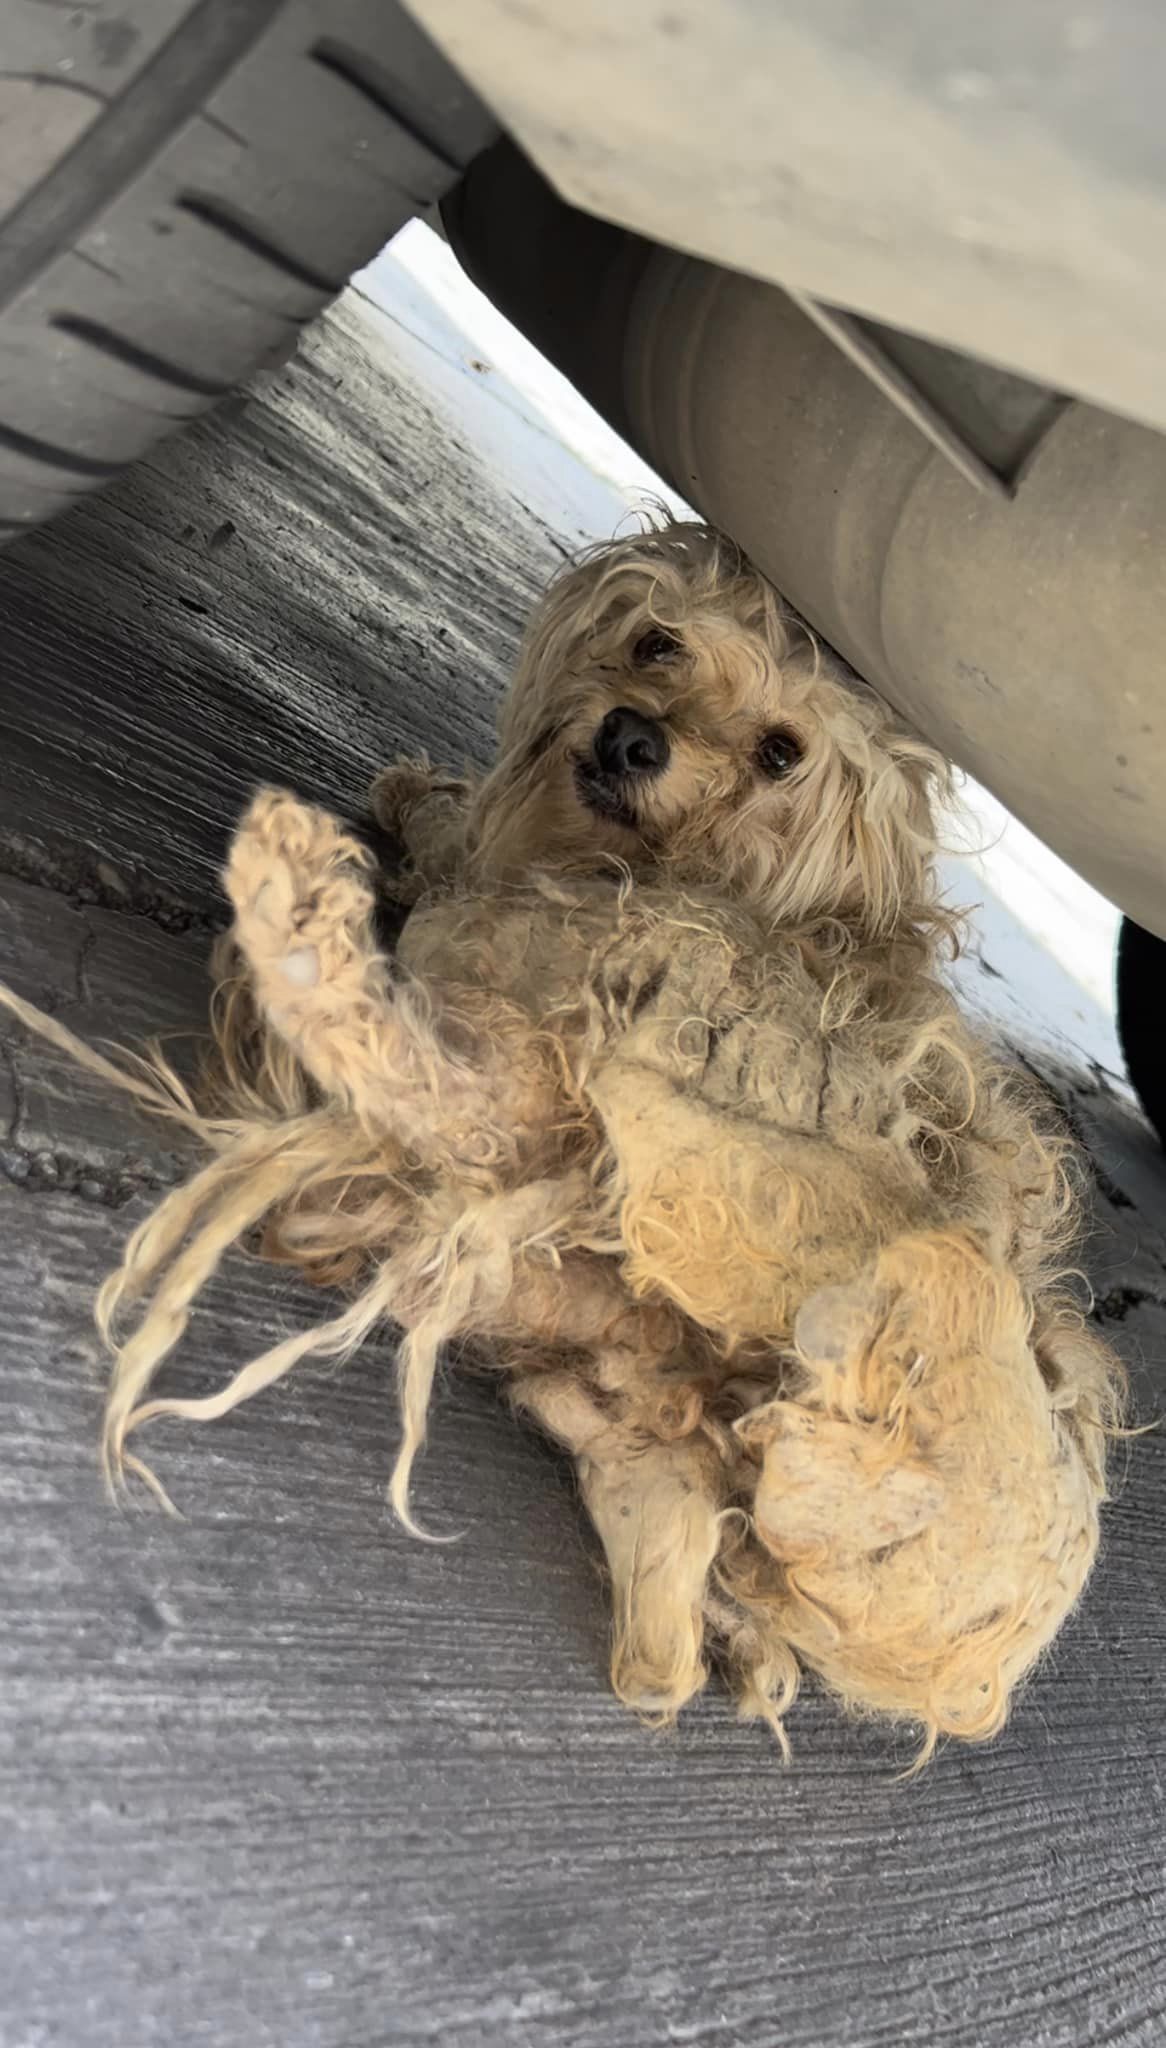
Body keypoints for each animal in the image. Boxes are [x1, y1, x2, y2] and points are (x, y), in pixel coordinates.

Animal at [4, 516, 1122, 1761]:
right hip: (654, 1447)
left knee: (412, 1075)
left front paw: (414, 804)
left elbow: (446, 849)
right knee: (658, 1613)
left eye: (781, 751)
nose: (632, 736)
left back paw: (296, 905)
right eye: (657, 640)